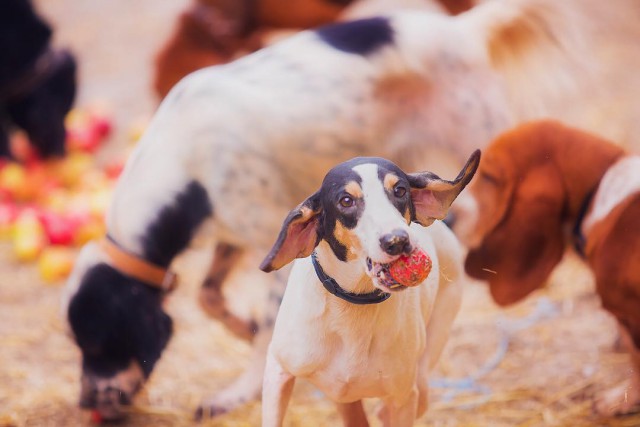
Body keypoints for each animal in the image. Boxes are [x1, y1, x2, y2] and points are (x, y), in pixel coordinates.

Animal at [262, 152, 480, 426]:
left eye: (400, 190)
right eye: (346, 200)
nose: (397, 240)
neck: (352, 304)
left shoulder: (403, 399)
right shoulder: (278, 371)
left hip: (423, 370)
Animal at [452, 120, 640, 418]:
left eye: (490, 177)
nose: (447, 218)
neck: (599, 194)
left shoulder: (629, 315)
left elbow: (636, 359)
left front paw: (620, 400)